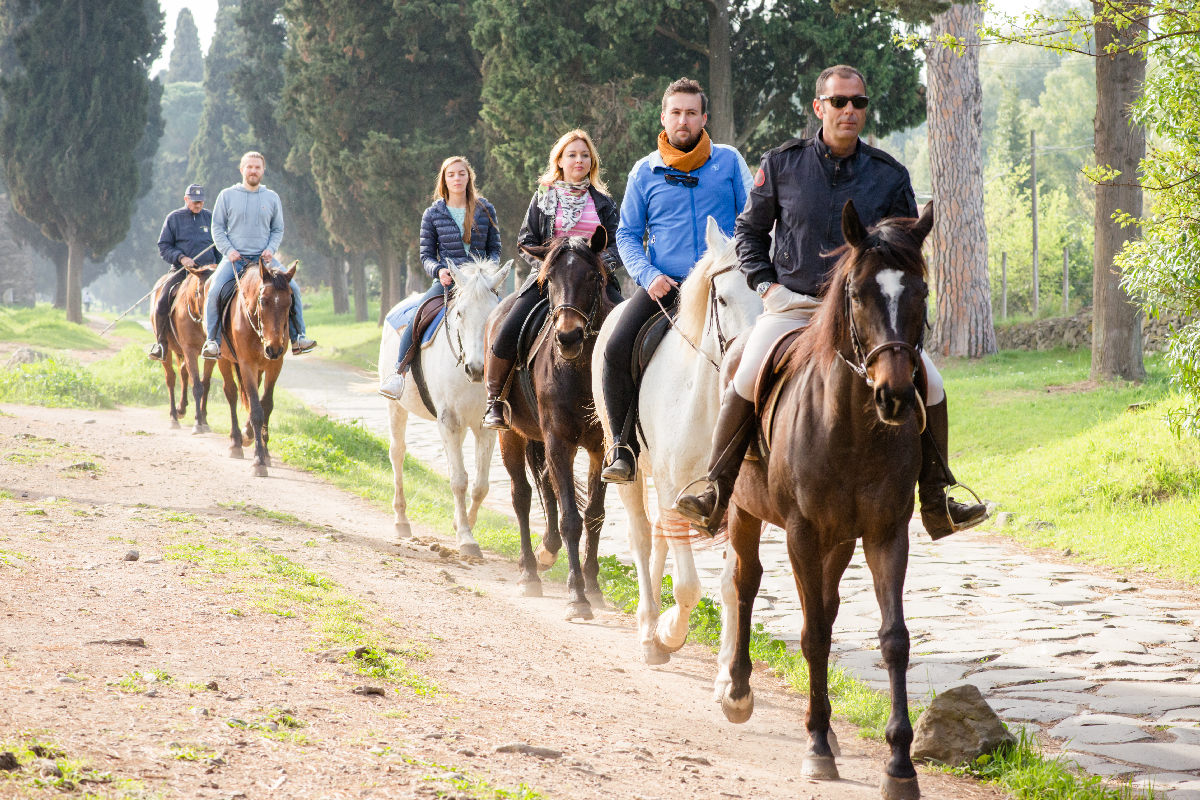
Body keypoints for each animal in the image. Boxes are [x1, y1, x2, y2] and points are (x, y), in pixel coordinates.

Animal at [213, 260, 295, 479]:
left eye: (289, 303)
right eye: (263, 301)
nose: (273, 348)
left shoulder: (275, 365)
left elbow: (265, 405)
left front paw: (264, 452)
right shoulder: (247, 364)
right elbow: (257, 410)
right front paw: (258, 461)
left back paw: (247, 435)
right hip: (224, 360)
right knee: (231, 393)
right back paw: (235, 442)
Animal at [374, 257, 506, 556]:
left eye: (492, 315)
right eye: (460, 315)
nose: (476, 369)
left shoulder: (483, 426)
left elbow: (480, 485)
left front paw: (463, 525)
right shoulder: (448, 421)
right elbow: (459, 480)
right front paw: (466, 538)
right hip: (396, 407)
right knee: (397, 453)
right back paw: (401, 520)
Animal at [484, 227, 614, 623]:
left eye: (594, 277)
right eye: (550, 279)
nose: (567, 337)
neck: (579, 369)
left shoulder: (601, 448)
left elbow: (594, 515)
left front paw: (593, 586)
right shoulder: (559, 440)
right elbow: (571, 517)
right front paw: (576, 596)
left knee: (545, 485)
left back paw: (547, 550)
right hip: (510, 435)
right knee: (522, 495)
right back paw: (529, 570)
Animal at [592, 219, 758, 662]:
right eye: (722, 298)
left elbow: (731, 584)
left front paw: (728, 668)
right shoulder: (672, 488)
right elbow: (687, 587)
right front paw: (668, 632)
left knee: (659, 537)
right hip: (631, 471)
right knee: (641, 536)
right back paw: (649, 625)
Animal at [715, 201, 931, 800]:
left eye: (921, 291)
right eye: (857, 294)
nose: (895, 395)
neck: (853, 426)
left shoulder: (884, 533)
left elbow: (893, 639)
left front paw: (899, 763)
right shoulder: (801, 532)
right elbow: (810, 634)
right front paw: (815, 747)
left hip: (840, 541)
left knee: (828, 607)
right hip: (744, 512)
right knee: (746, 583)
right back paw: (739, 691)